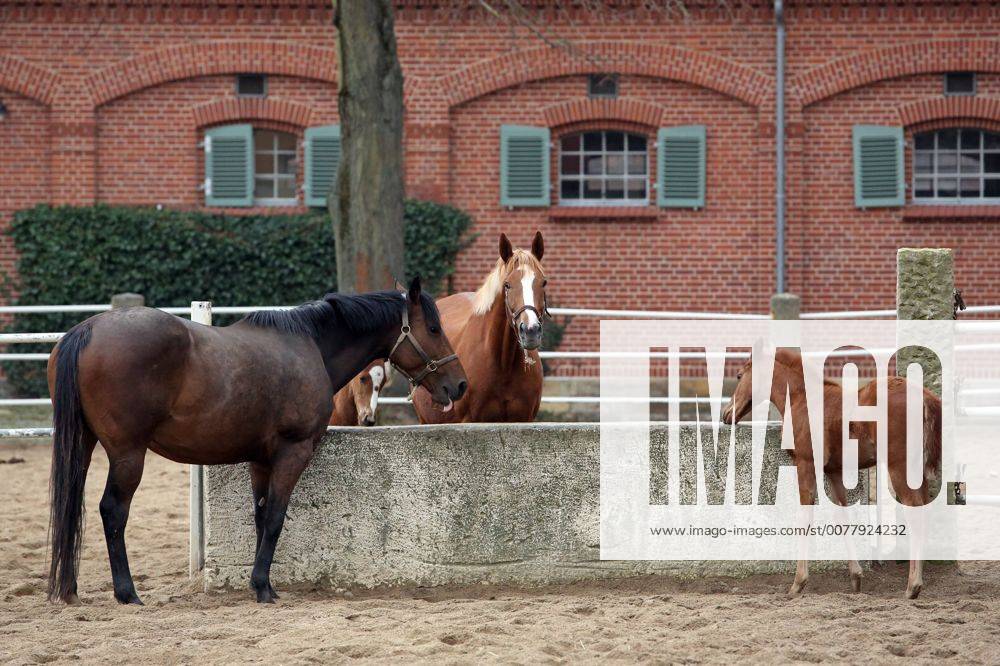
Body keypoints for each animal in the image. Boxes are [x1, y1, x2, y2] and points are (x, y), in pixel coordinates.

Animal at [47, 278, 468, 604]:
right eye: (433, 328)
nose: (459, 385)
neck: (310, 345)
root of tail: (87, 331)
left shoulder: (261, 460)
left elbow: (261, 516)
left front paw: (257, 582)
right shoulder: (293, 452)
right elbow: (277, 518)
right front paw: (264, 587)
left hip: (84, 444)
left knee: (72, 504)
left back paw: (69, 589)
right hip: (127, 454)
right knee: (112, 511)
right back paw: (127, 592)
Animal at [724, 348, 940, 596]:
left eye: (739, 375)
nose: (726, 414)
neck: (803, 399)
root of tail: (924, 396)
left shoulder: (806, 463)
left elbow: (804, 517)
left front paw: (798, 583)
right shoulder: (834, 471)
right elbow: (842, 516)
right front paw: (856, 578)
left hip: (899, 466)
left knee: (915, 512)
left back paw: (913, 586)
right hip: (917, 470)